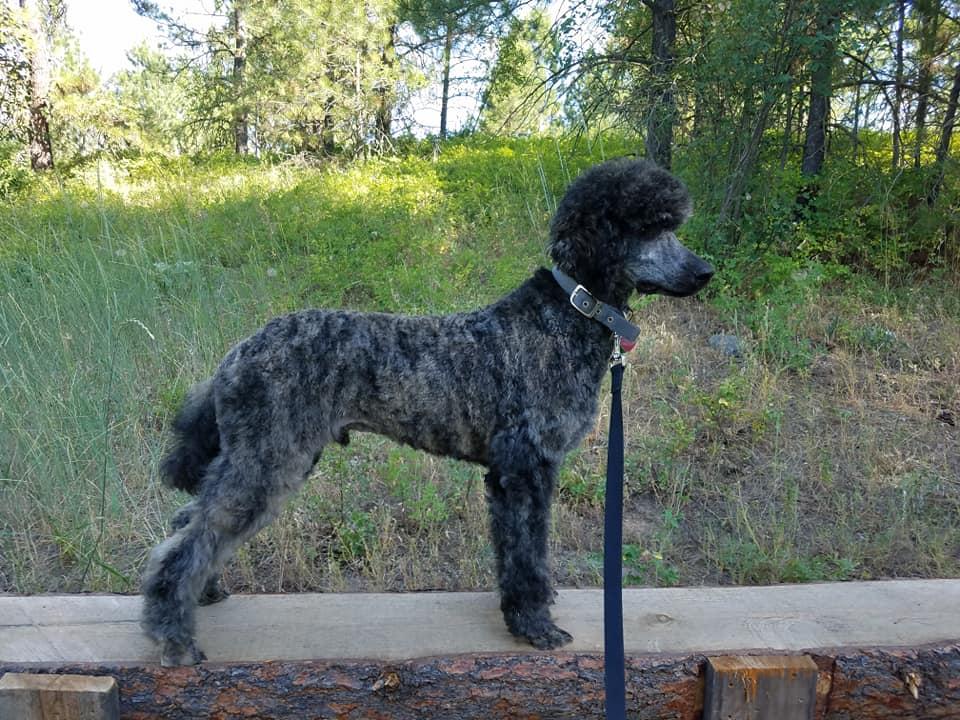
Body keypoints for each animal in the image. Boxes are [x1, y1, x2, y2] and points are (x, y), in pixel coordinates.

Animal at [141, 157, 713, 666]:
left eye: (671, 224)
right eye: (648, 226)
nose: (705, 271)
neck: (566, 314)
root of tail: (237, 353)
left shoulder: (513, 475)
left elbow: (522, 552)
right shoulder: (525, 469)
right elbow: (527, 551)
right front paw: (534, 625)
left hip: (263, 458)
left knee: (190, 522)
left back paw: (204, 594)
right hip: (269, 459)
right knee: (190, 542)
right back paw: (174, 634)